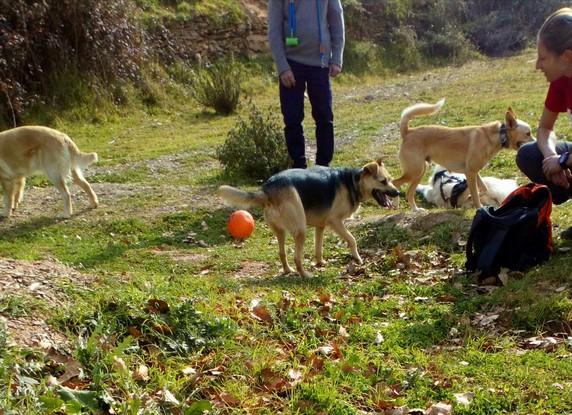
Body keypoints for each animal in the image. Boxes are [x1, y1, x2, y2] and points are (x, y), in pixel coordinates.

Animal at [217, 161, 400, 278]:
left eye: (390, 180)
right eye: (383, 181)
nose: (398, 192)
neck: (352, 182)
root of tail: (267, 190)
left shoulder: (321, 226)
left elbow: (318, 248)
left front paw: (320, 263)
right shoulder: (335, 222)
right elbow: (352, 239)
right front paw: (358, 259)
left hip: (281, 231)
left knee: (282, 253)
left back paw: (288, 271)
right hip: (300, 229)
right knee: (297, 257)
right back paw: (305, 275)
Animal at [396, 99, 536, 211]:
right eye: (528, 133)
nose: (537, 143)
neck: (499, 135)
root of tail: (408, 131)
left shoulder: (474, 173)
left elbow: (483, 189)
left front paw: (471, 197)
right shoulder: (470, 173)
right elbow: (475, 195)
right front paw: (479, 207)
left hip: (419, 172)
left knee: (408, 193)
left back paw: (415, 209)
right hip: (414, 171)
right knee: (395, 183)